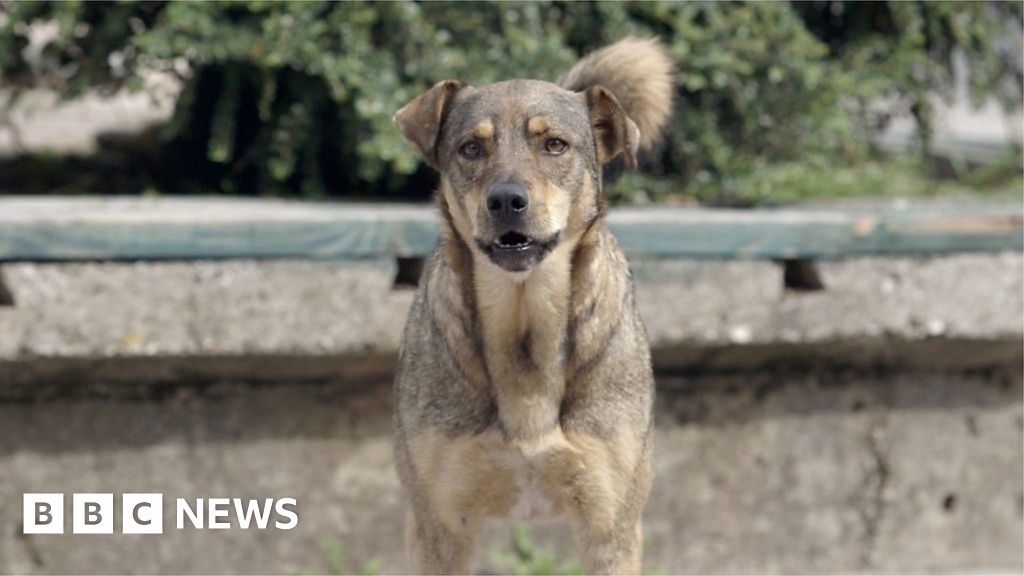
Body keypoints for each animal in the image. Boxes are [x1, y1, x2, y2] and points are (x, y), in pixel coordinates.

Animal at [391, 38, 671, 569]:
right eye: (471, 148)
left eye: (555, 145)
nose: (506, 200)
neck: (524, 321)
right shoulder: (438, 528)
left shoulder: (610, 527)